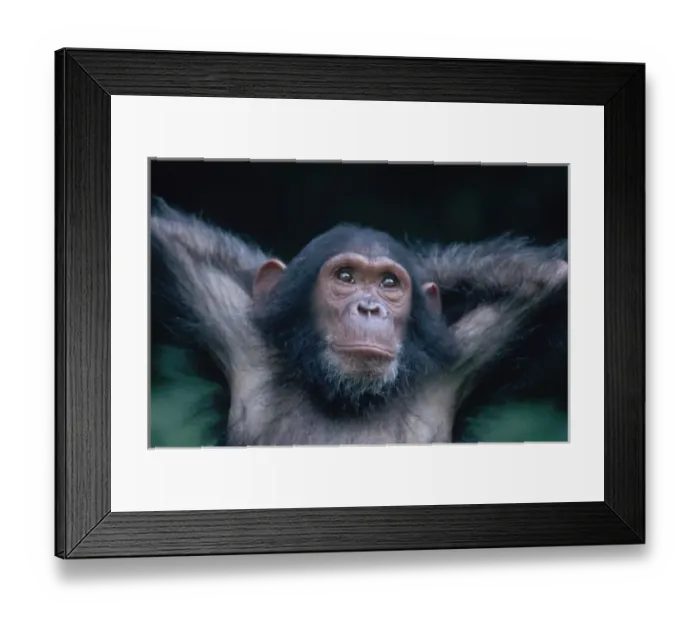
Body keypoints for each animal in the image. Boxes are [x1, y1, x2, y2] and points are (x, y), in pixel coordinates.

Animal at [150, 199, 568, 446]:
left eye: (388, 284)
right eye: (346, 277)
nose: (370, 308)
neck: (345, 397)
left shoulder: (472, 351)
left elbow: (552, 277)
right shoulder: (230, 327)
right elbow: (167, 236)